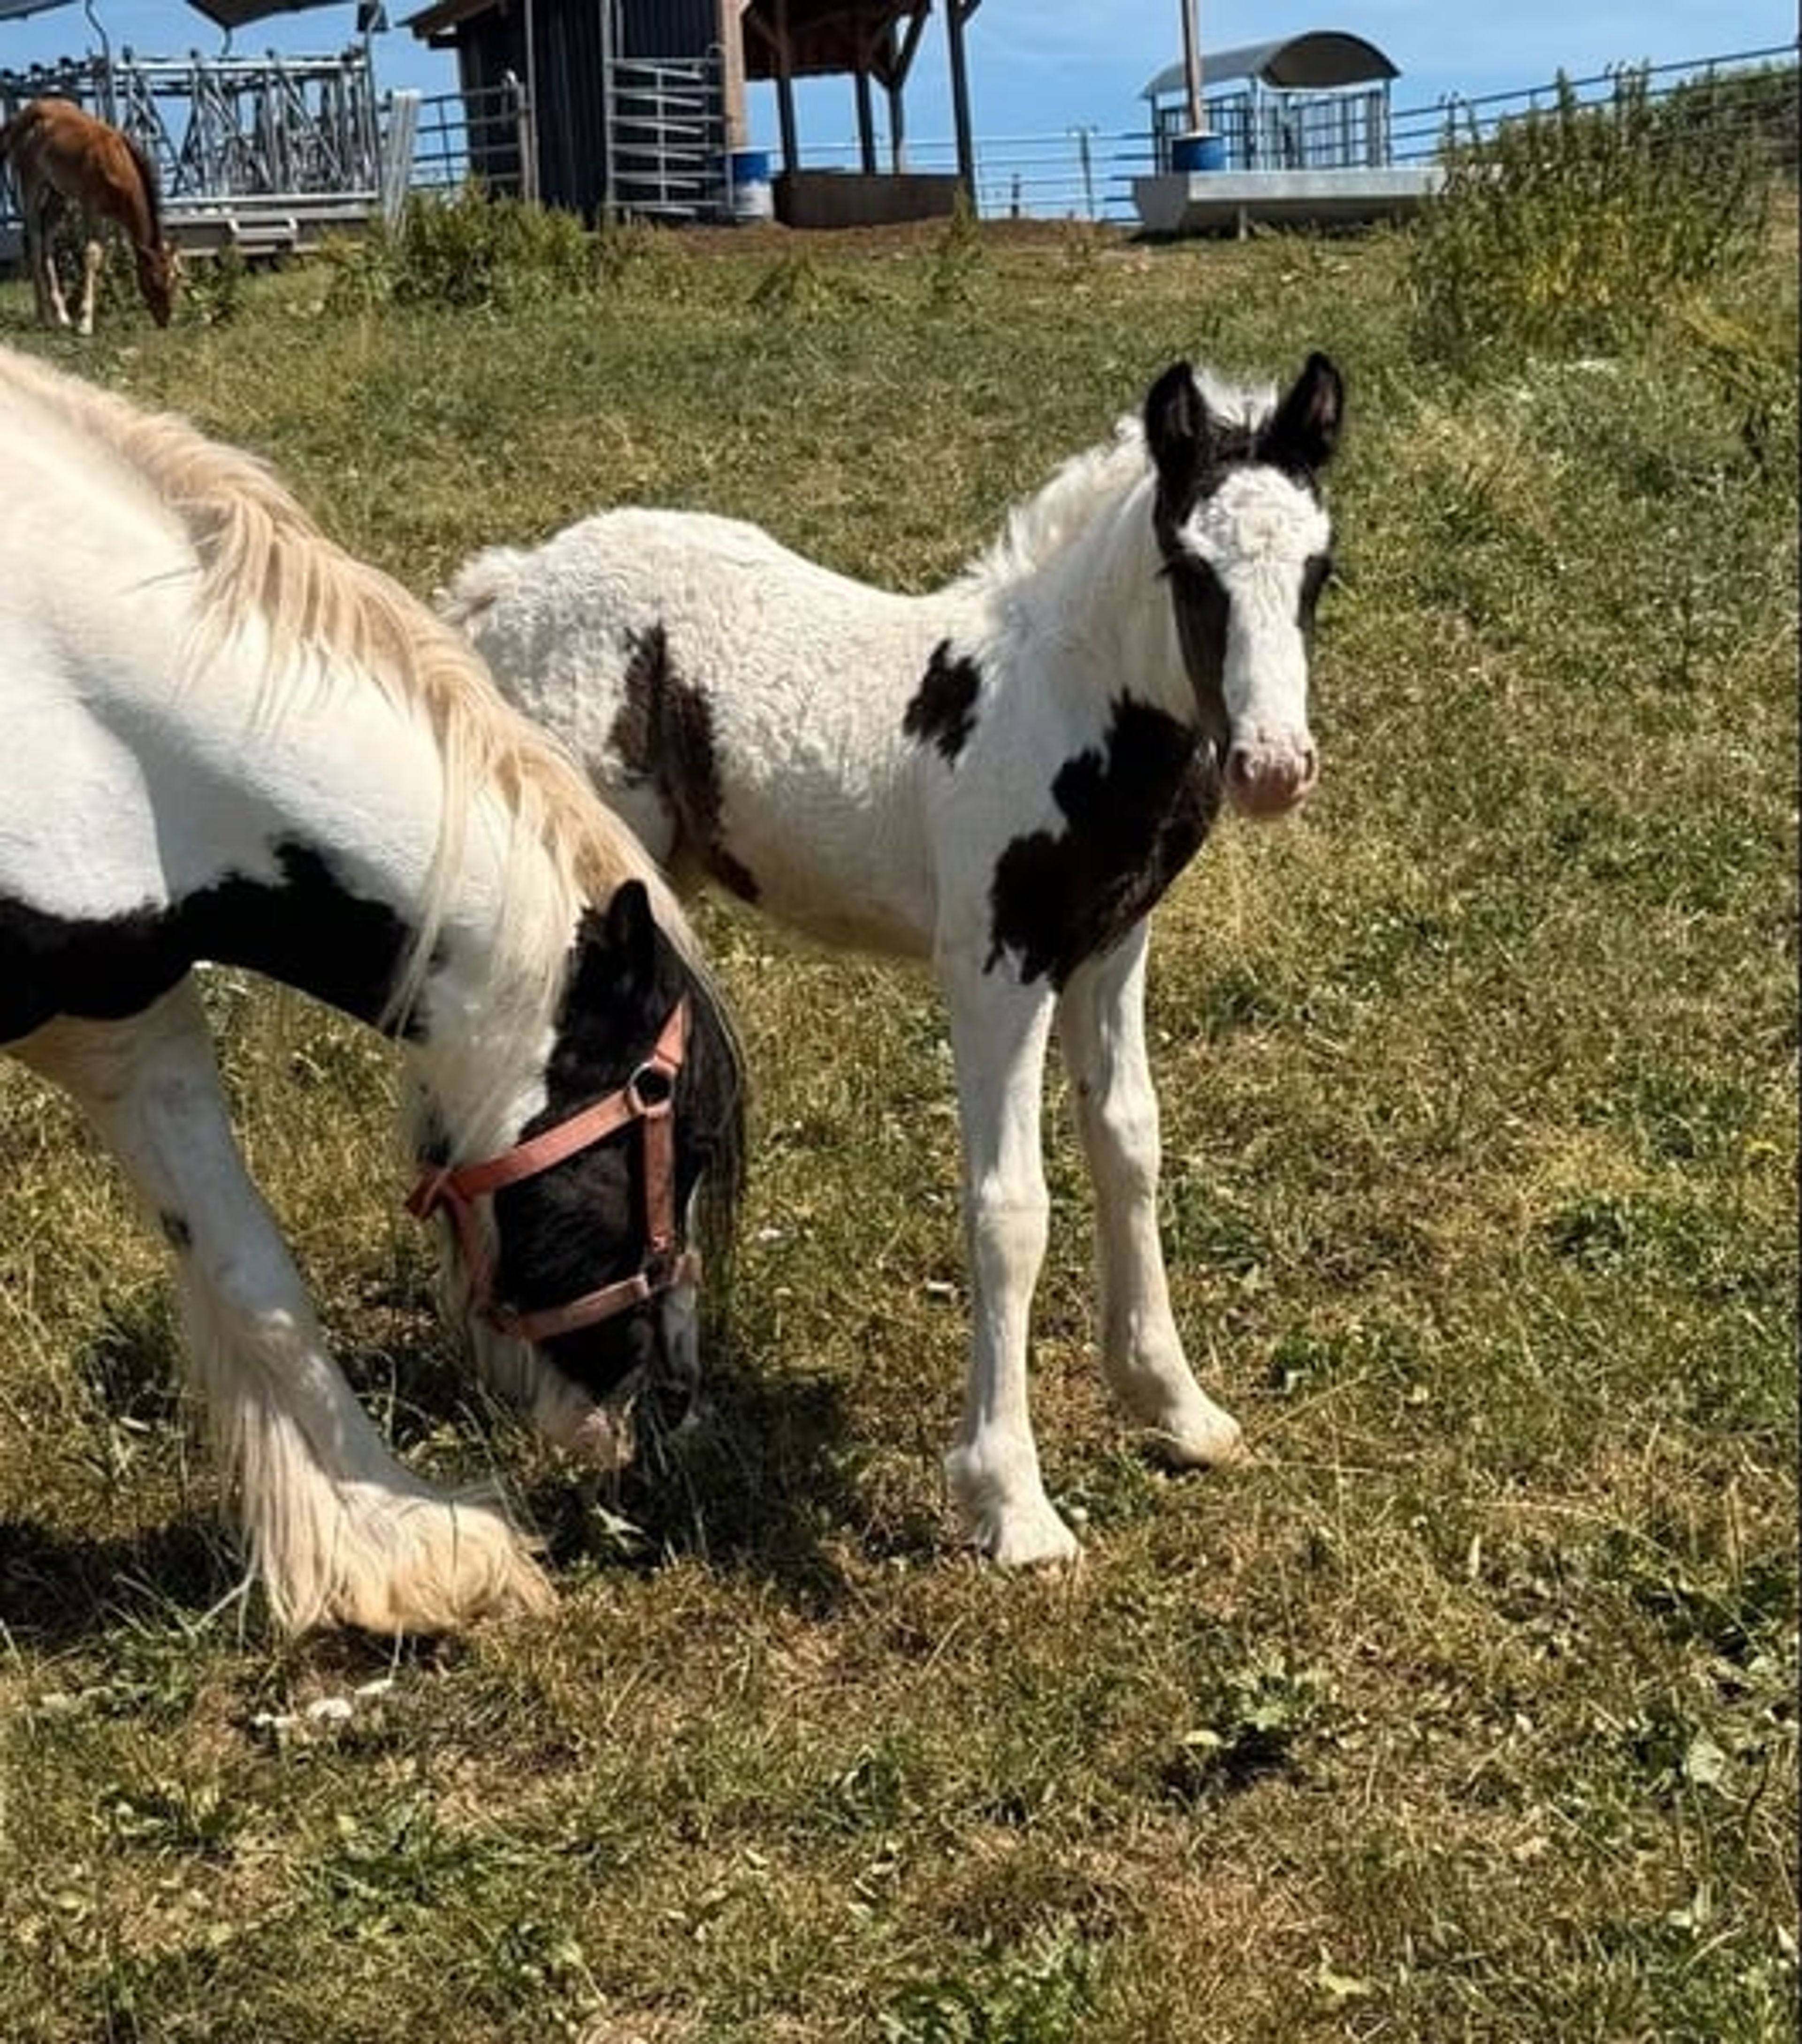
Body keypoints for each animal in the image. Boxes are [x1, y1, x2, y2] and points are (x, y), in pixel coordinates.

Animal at [0, 98, 179, 334]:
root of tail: (22, 116)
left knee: (47, 237)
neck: (118, 163)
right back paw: (44, 315)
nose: (165, 320)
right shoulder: (89, 205)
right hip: (31, 180)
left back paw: (62, 314)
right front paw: (85, 322)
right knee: (34, 237)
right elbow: (91, 254)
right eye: (154, 281)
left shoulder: (106, 215)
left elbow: (105, 254)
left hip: (59, 193)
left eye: (175, 279)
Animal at [0, 345, 745, 1633]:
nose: (671, 1400)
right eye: (679, 1140)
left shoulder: (126, 1018)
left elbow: (252, 1275)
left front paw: (396, 1543)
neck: (57, 686)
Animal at [442, 350, 1344, 1567]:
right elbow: (1010, 1208)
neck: (1065, 712)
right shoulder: (996, 970)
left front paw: (1174, 1405)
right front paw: (1012, 1503)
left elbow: (1129, 1143)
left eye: (1319, 571)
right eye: (1189, 568)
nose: (1271, 768)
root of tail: (511, 583)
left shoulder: (1111, 950)